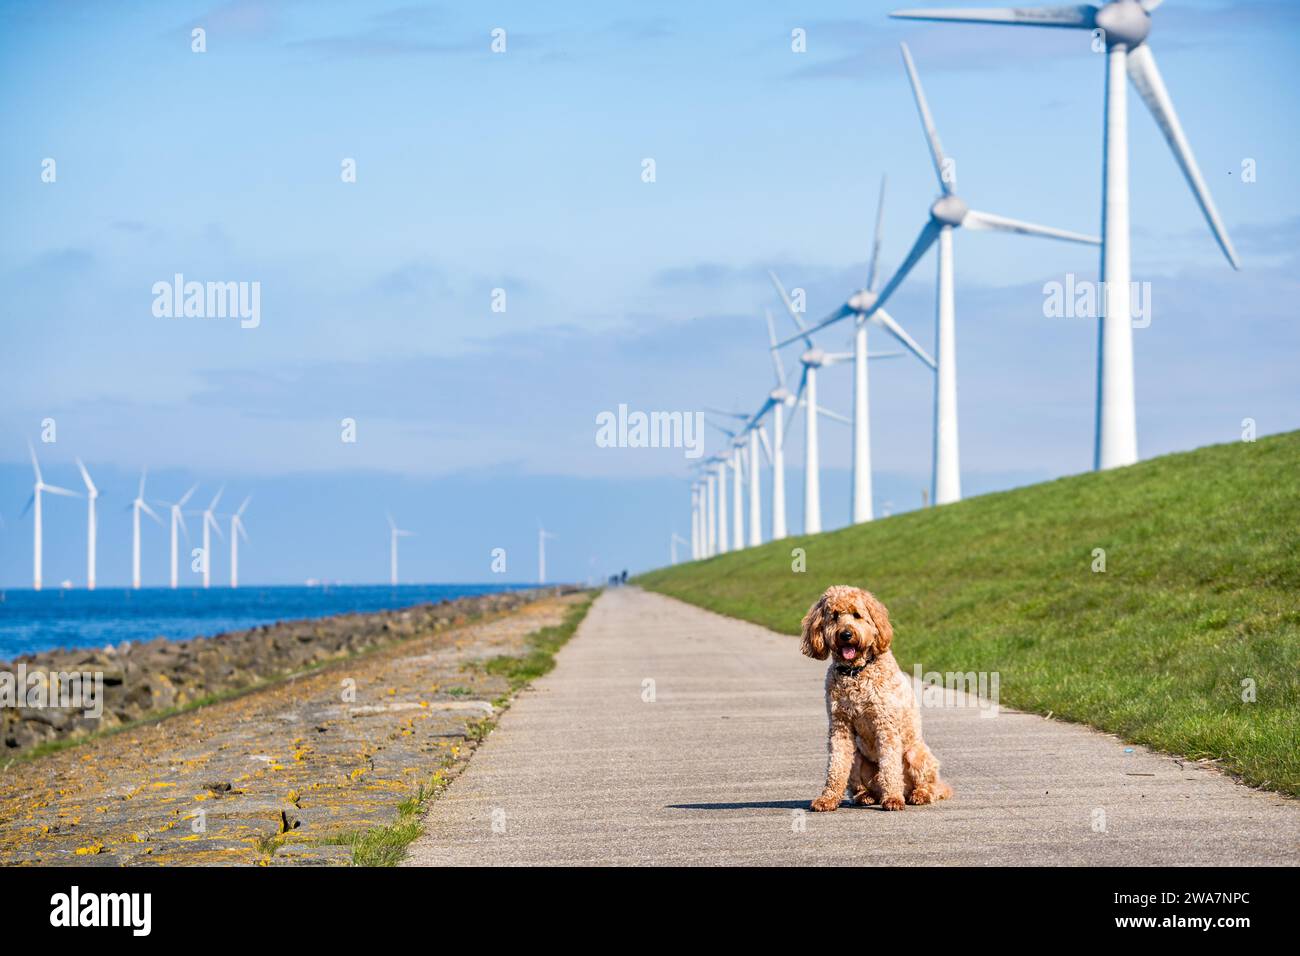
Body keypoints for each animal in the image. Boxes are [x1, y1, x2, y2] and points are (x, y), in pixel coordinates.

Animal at [795, 587, 951, 811]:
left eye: (857, 615)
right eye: (834, 616)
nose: (845, 634)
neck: (856, 671)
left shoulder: (885, 725)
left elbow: (889, 765)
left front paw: (893, 798)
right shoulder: (840, 727)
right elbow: (835, 766)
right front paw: (828, 799)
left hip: (916, 755)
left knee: (932, 786)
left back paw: (918, 794)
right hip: (858, 758)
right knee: (860, 783)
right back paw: (866, 796)